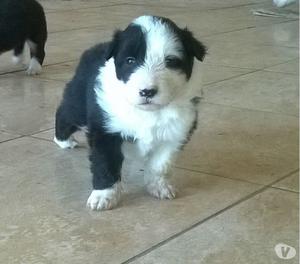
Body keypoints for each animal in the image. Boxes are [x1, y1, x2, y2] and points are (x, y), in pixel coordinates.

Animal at [54, 16, 206, 210]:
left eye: (171, 61)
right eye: (130, 60)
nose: (147, 91)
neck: (147, 112)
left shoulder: (175, 132)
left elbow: (160, 164)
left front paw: (158, 187)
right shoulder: (106, 129)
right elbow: (105, 163)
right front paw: (104, 196)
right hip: (78, 102)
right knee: (64, 112)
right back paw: (64, 141)